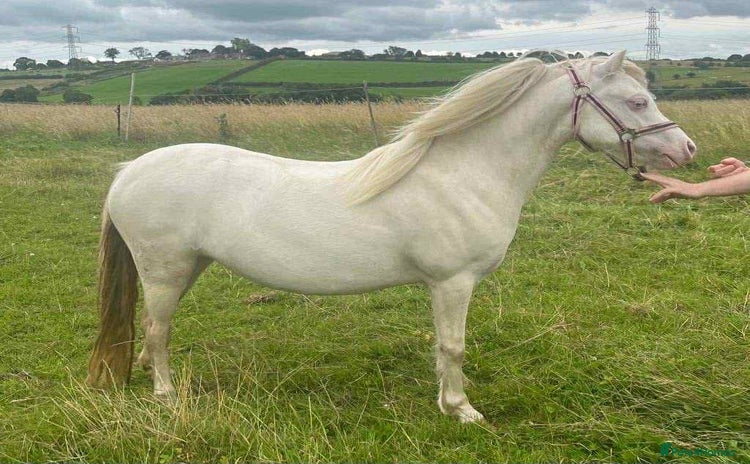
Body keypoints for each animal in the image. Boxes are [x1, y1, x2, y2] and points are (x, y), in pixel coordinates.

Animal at [87, 51, 696, 423]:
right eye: (637, 102)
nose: (685, 150)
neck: (465, 172)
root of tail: (128, 172)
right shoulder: (453, 283)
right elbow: (453, 346)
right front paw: (462, 410)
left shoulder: (443, 286)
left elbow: (441, 346)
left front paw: (446, 401)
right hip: (166, 270)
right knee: (158, 331)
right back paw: (167, 397)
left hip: (186, 268)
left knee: (153, 331)